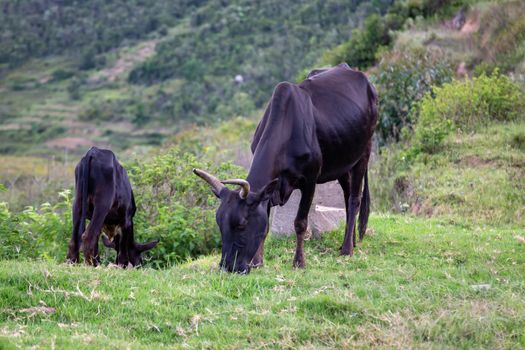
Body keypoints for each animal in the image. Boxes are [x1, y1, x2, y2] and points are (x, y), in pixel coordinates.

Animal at [192, 62, 376, 274]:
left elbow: (300, 222)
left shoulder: (310, 180)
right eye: (219, 224)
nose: (228, 267)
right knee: (347, 196)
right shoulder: (269, 190)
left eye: (242, 225)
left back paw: (347, 249)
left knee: (354, 199)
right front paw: (258, 262)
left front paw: (299, 262)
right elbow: (265, 226)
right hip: (342, 162)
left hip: (364, 153)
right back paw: (350, 241)